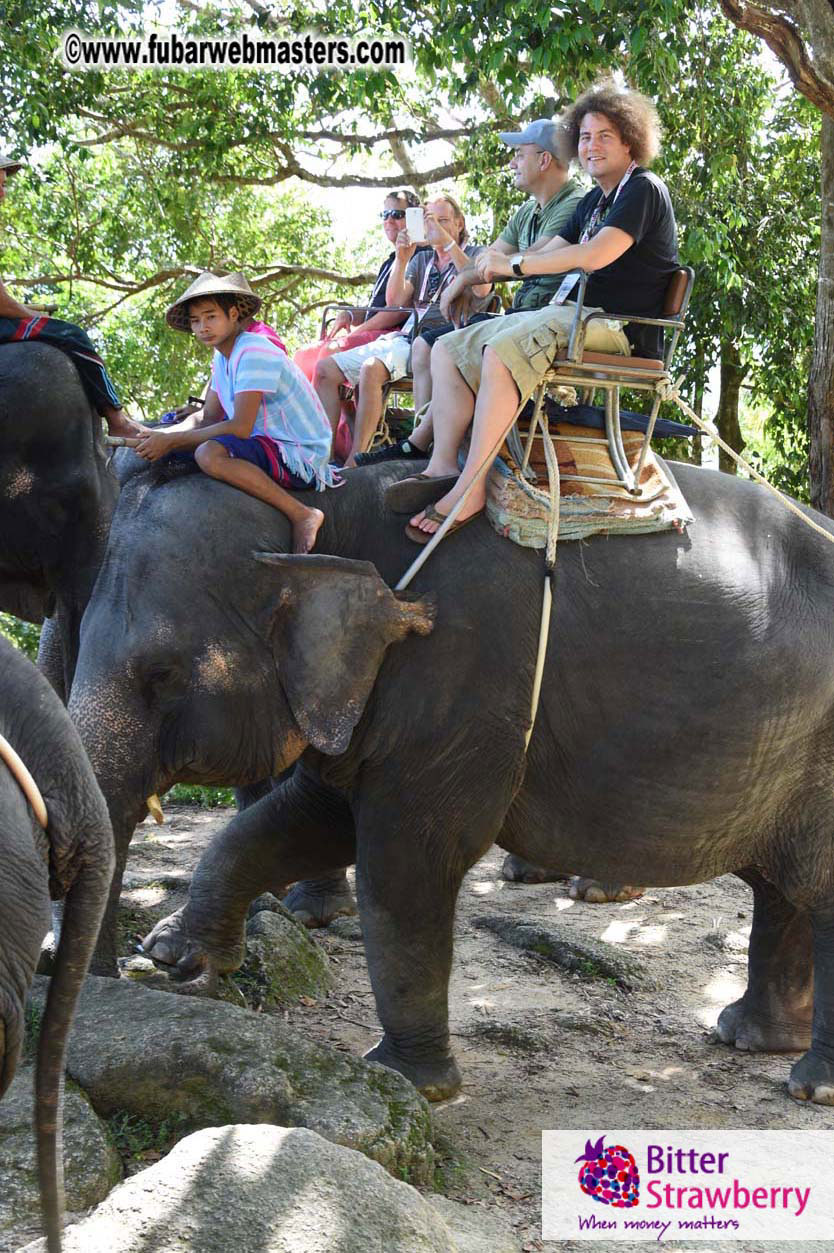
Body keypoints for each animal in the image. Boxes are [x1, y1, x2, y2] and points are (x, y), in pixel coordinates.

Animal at [68, 453, 834, 1104]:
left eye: (161, 674)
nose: (116, 979)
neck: (331, 509)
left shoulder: (460, 679)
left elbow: (407, 862)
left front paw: (409, 1083)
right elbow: (305, 820)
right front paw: (180, 955)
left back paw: (810, 1086)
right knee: (784, 887)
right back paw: (750, 1038)